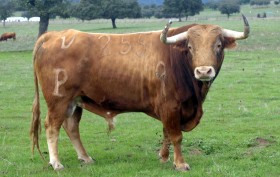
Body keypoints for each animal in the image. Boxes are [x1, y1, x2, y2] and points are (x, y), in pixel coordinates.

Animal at [30, 14, 249, 170]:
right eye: (189, 47)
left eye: (218, 45)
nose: (203, 71)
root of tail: (55, 35)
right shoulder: (170, 106)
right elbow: (176, 135)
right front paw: (180, 163)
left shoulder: (169, 110)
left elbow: (166, 133)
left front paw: (163, 157)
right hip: (58, 100)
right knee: (52, 127)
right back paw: (56, 163)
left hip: (75, 101)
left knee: (72, 127)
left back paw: (85, 157)